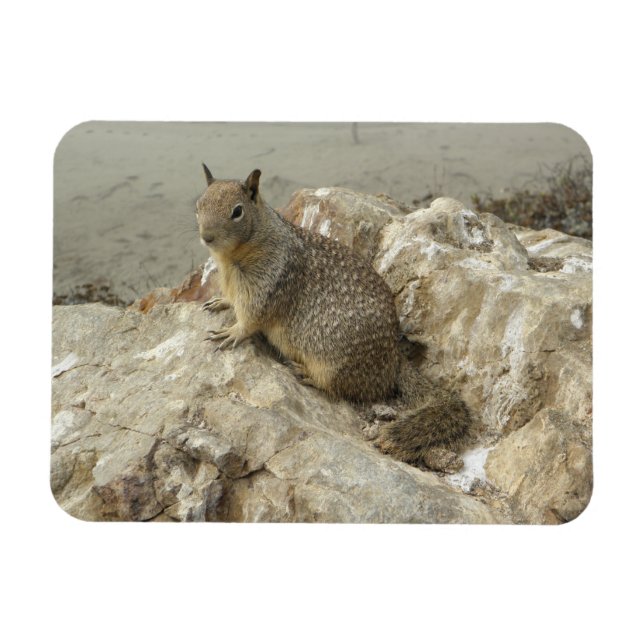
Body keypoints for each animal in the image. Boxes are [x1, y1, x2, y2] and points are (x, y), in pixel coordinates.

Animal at [195, 165, 470, 472]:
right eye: (199, 205)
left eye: (237, 211)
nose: (207, 236)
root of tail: (394, 360)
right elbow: (230, 301)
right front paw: (220, 302)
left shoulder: (267, 287)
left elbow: (250, 321)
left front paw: (231, 332)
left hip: (334, 364)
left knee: (340, 389)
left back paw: (307, 374)